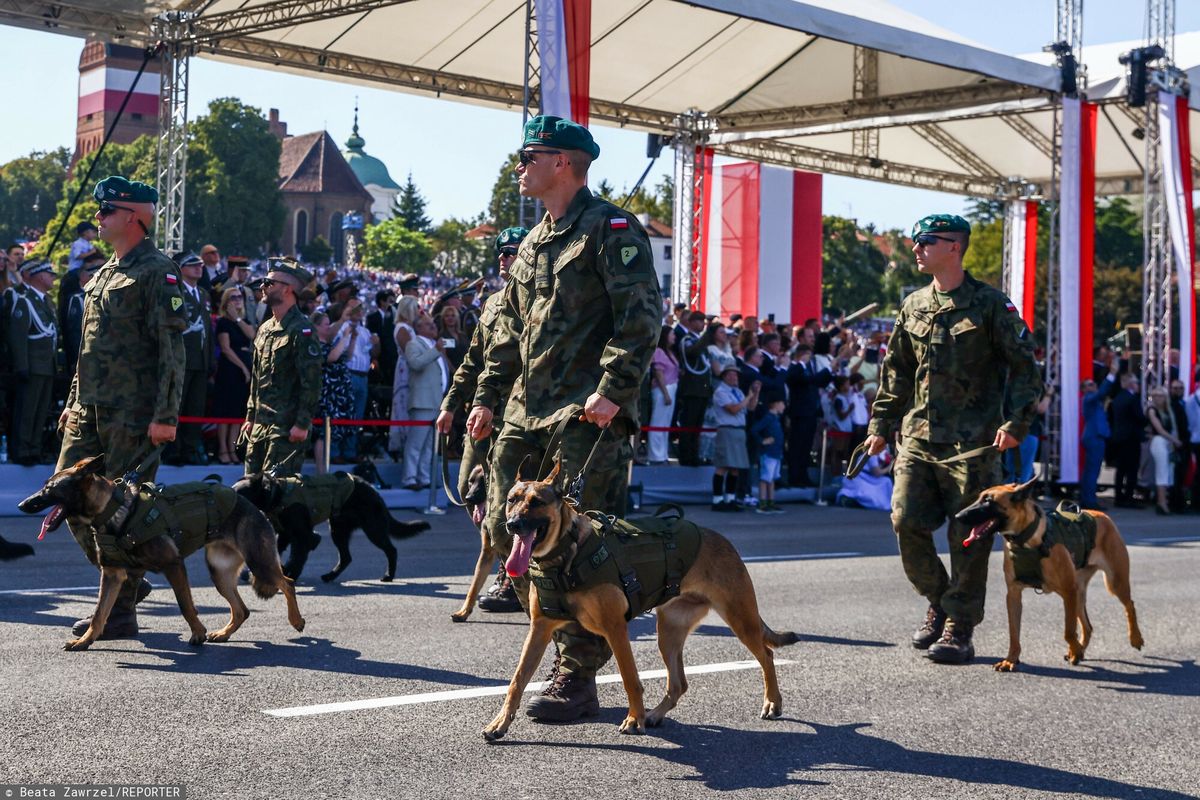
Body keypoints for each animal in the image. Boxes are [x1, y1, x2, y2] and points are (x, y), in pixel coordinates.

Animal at [477, 460, 796, 743]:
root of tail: (723, 540)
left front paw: (634, 719)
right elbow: (517, 681)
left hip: (740, 619)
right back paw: (655, 714)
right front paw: (499, 724)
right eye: (512, 500)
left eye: (536, 502)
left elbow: (630, 678)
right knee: (679, 683)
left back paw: (772, 702)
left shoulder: (615, 629)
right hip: (668, 633)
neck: (566, 555)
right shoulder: (539, 629)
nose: (513, 524)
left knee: (766, 655)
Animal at [955, 479, 1142, 671]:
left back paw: (1134, 638)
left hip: (1114, 582)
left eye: (988, 501)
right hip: (1079, 592)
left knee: (1129, 605)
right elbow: (1014, 633)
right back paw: (1081, 649)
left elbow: (1068, 631)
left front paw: (1075, 650)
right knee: (1088, 626)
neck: (1025, 539)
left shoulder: (1068, 592)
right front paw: (1011, 659)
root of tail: (1102, 515)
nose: (957, 516)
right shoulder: (1014, 595)